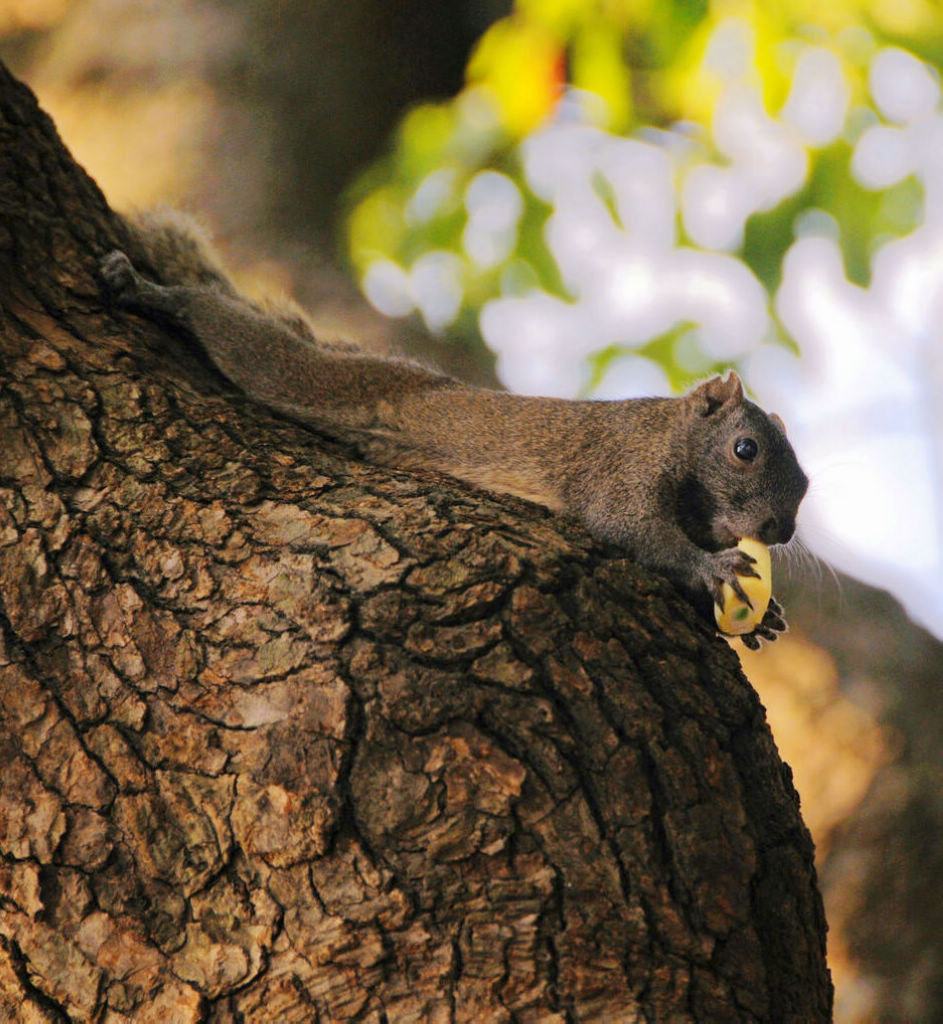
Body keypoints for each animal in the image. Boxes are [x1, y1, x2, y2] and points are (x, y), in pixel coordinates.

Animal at [101, 209, 810, 647]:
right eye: (745, 449)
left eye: (805, 485)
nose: (780, 531)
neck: (671, 436)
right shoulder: (622, 464)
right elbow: (631, 528)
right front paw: (712, 567)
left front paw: (764, 619)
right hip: (316, 380)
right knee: (237, 336)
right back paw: (148, 290)